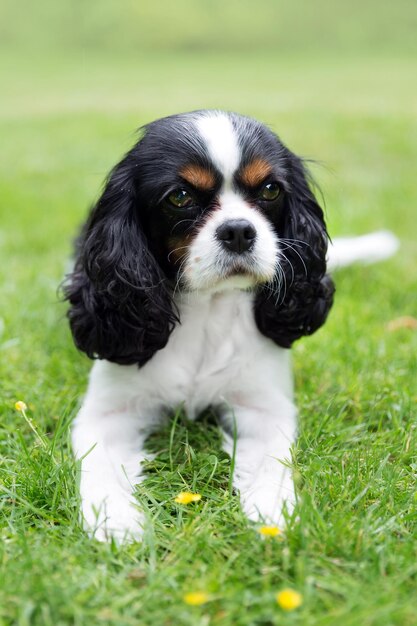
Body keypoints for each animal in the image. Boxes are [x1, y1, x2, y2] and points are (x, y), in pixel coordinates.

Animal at [65, 109, 396, 540]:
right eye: (180, 197)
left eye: (270, 189)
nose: (238, 230)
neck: (209, 307)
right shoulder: (105, 413)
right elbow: (99, 466)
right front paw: (115, 521)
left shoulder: (263, 408)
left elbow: (273, 462)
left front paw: (272, 513)